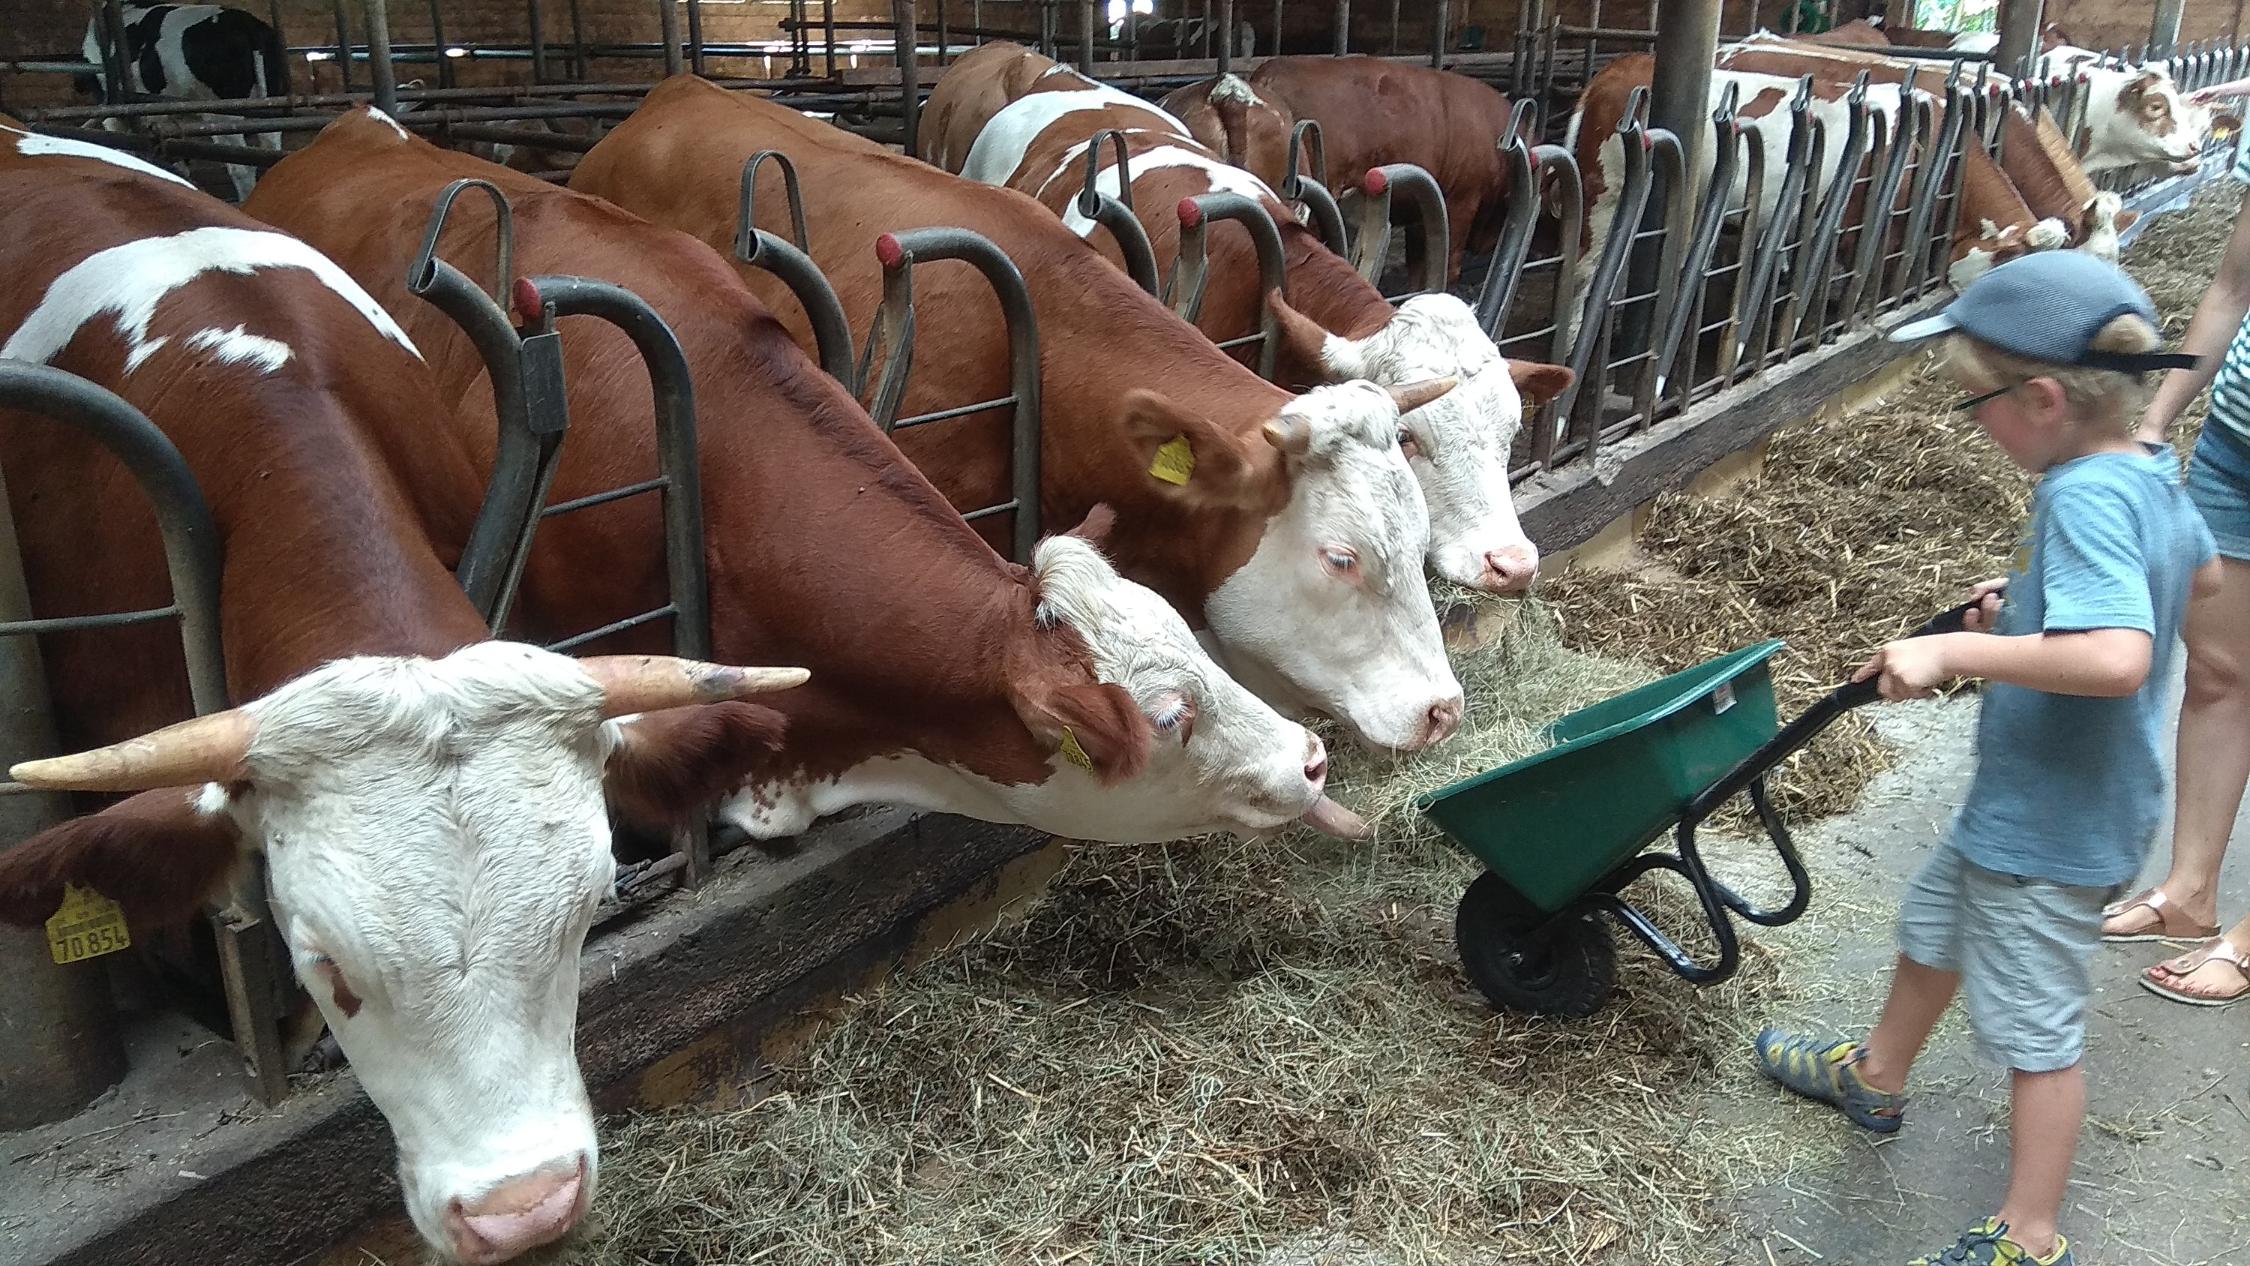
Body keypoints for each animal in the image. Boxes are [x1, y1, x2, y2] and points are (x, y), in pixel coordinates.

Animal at [78, 3, 283, 200]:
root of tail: (247, 24)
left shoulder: (113, 113)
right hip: (270, 99)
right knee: (271, 152)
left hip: (223, 112)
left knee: (241, 168)